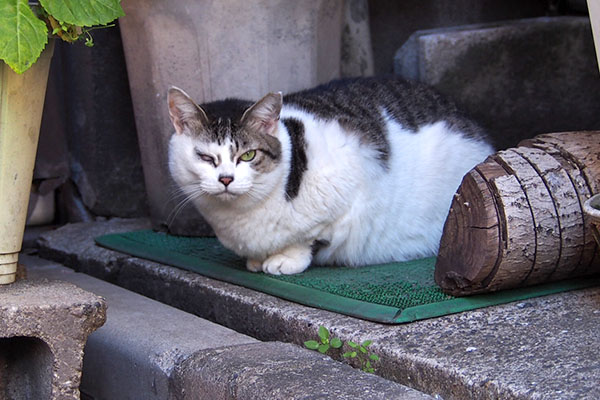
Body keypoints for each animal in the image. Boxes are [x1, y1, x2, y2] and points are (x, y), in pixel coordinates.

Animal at [168, 76, 492, 276]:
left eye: (248, 155)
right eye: (205, 157)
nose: (226, 179)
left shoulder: (351, 187)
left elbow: (310, 237)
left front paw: (286, 259)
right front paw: (257, 260)